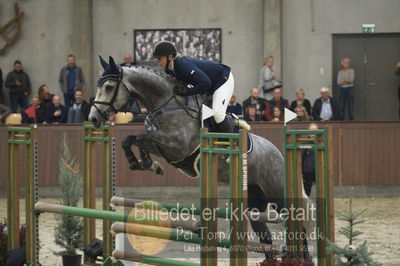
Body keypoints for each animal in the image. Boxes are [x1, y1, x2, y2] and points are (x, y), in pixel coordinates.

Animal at [89, 56, 314, 260]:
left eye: (108, 87)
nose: (93, 119)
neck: (167, 104)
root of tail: (279, 153)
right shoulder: (163, 147)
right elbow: (131, 139)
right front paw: (147, 164)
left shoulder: (178, 146)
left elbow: (142, 137)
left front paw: (146, 163)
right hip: (254, 198)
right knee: (264, 235)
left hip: (277, 192)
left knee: (296, 222)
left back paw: (303, 257)